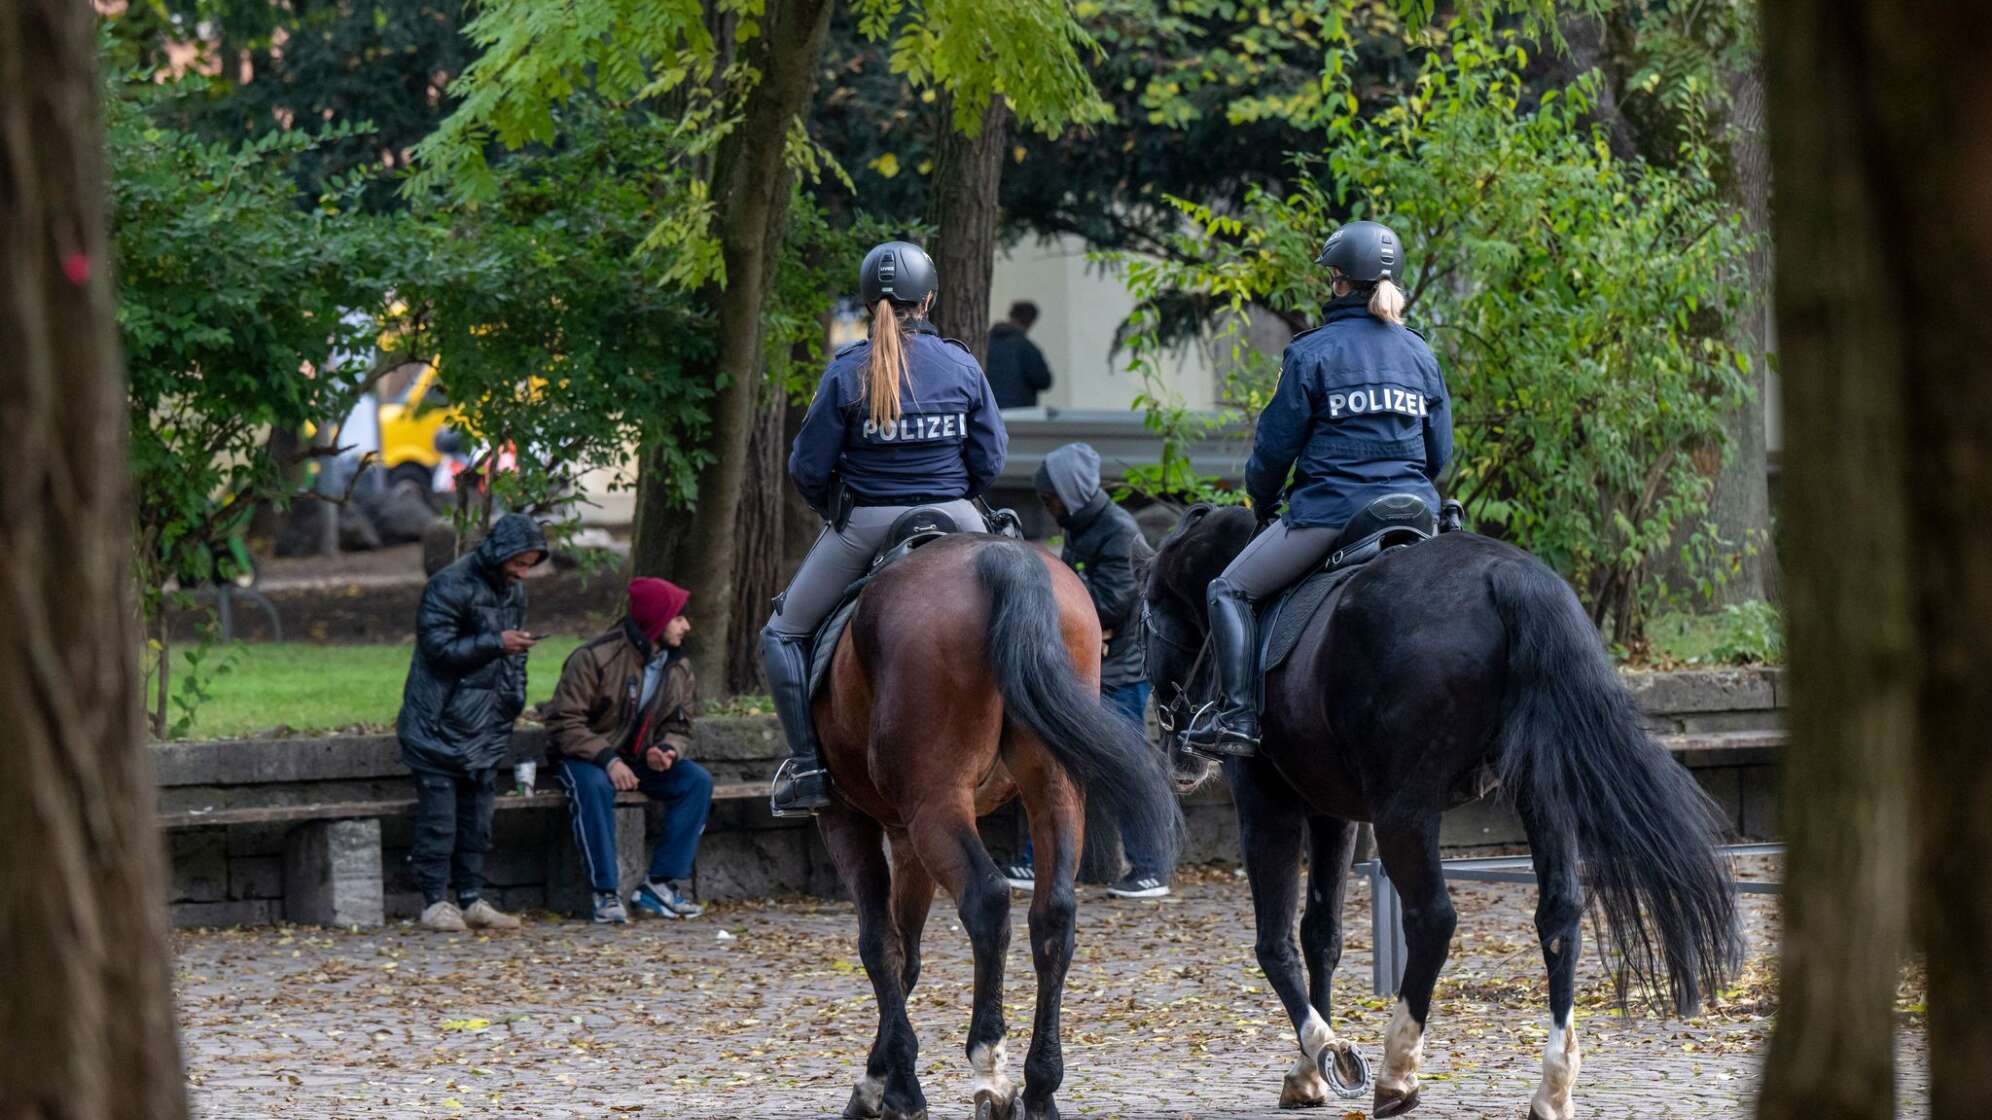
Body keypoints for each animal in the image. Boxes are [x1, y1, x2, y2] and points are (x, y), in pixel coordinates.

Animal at [812, 530, 1179, 1116]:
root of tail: (1000, 560)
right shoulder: (903, 835)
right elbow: (906, 953)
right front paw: (881, 1076)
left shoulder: (848, 818)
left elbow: (880, 945)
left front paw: (892, 1087)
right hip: (1052, 786)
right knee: (1053, 915)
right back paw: (1041, 1084)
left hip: (935, 803)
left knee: (986, 899)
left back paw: (990, 1067)